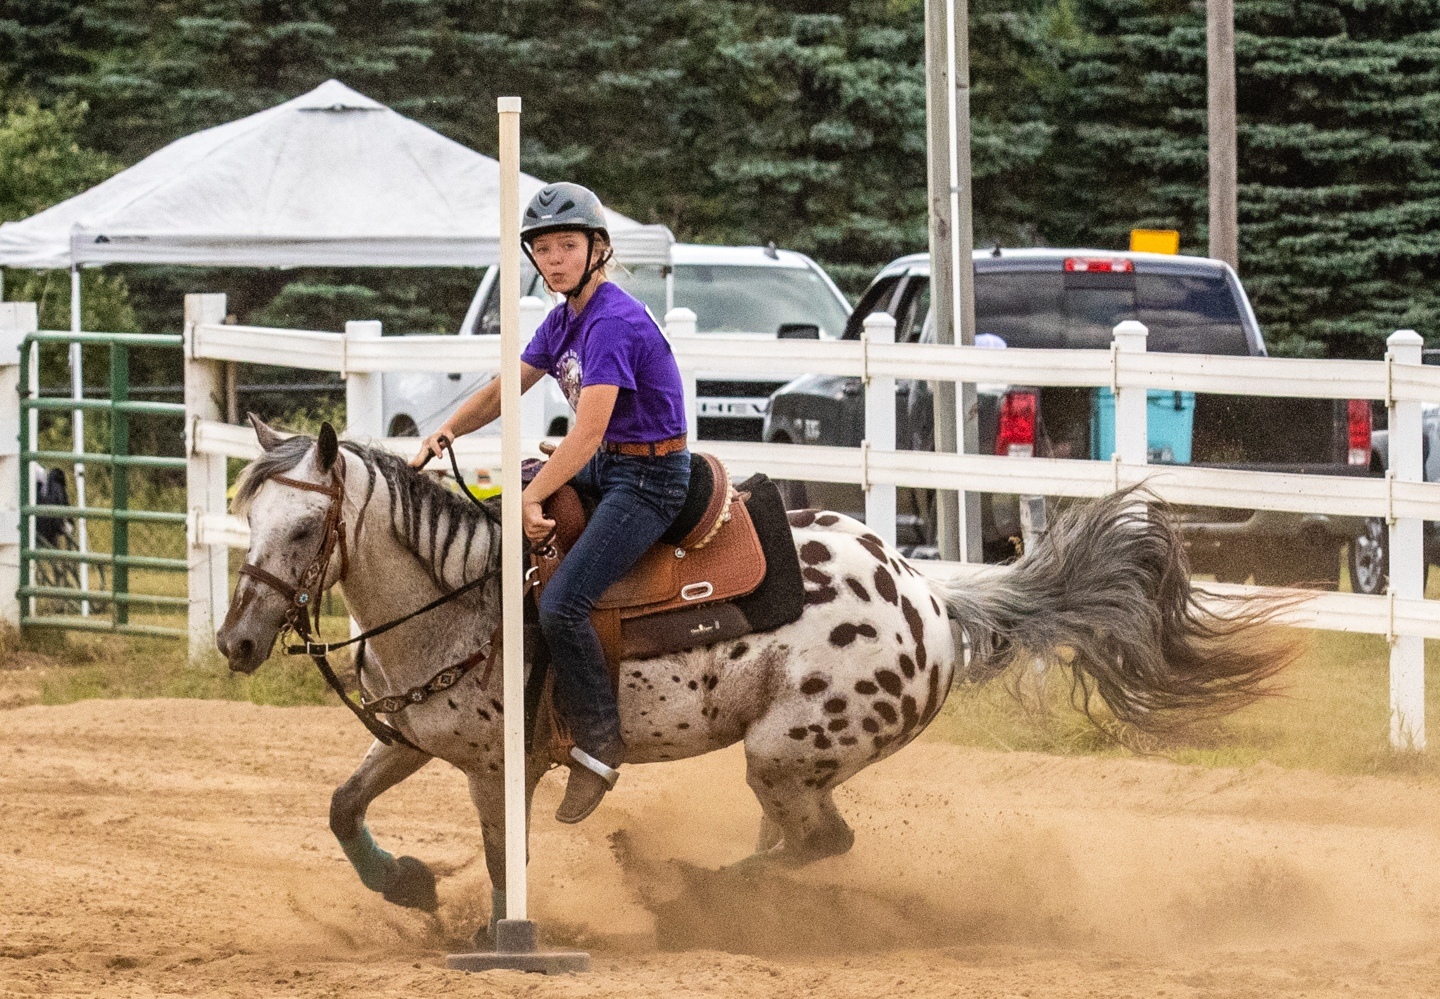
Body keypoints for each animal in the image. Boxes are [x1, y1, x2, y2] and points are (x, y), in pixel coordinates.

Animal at [216, 418, 1289, 937]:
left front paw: (490, 933)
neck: (457, 592)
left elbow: (499, 860)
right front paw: (404, 883)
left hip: (785, 751)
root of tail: (933, 598)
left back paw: (684, 892)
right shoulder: (413, 736)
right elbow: (341, 807)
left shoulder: (499, 767)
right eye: (246, 514)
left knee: (822, 840)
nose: (235, 641)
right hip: (793, 762)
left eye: (305, 528)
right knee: (804, 844)